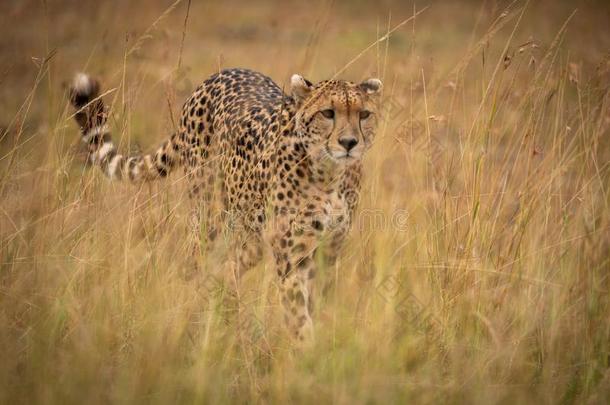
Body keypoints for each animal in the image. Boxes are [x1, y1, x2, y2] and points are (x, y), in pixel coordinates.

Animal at [66, 68, 380, 342]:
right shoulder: (293, 257)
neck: (330, 175)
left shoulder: (329, 250)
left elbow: (316, 304)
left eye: (364, 114)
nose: (349, 142)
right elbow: (299, 315)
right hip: (208, 217)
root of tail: (218, 75)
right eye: (328, 113)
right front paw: (306, 353)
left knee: (230, 267)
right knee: (195, 266)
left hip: (251, 236)